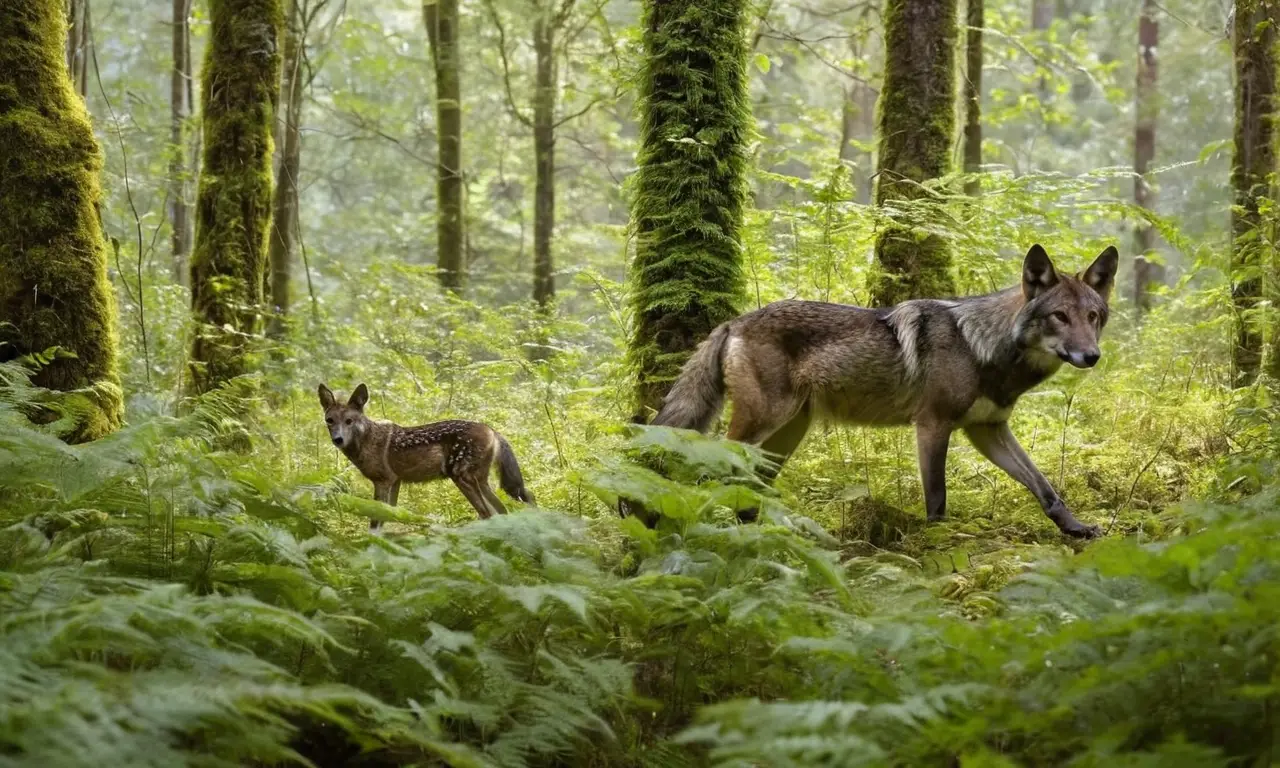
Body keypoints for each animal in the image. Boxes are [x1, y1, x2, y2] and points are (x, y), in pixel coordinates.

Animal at [318, 383, 535, 529]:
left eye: (349, 421)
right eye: (330, 420)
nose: (338, 439)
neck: (367, 440)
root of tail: (493, 431)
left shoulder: (383, 480)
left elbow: (376, 521)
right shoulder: (396, 480)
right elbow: (390, 517)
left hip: (462, 475)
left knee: (488, 512)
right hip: (481, 480)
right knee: (506, 508)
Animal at [650, 244, 1119, 538]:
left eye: (1093, 317)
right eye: (1059, 316)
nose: (1092, 356)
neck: (981, 346)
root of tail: (733, 322)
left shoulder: (988, 430)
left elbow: (1044, 486)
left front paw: (1076, 528)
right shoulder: (932, 425)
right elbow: (937, 498)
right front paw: (937, 543)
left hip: (784, 437)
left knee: (749, 486)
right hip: (761, 426)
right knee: (714, 468)